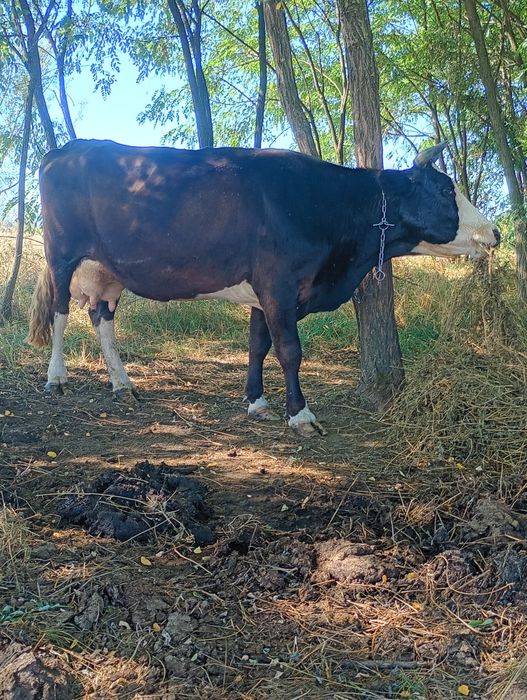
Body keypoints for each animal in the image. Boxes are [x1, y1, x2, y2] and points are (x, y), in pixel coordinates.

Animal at [27, 139, 499, 436]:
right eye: (446, 188)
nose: (494, 231)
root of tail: (65, 149)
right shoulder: (279, 282)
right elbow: (289, 349)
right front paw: (301, 414)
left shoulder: (264, 291)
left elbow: (258, 344)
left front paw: (256, 402)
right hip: (62, 256)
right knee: (60, 314)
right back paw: (56, 379)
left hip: (108, 272)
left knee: (102, 319)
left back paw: (123, 385)